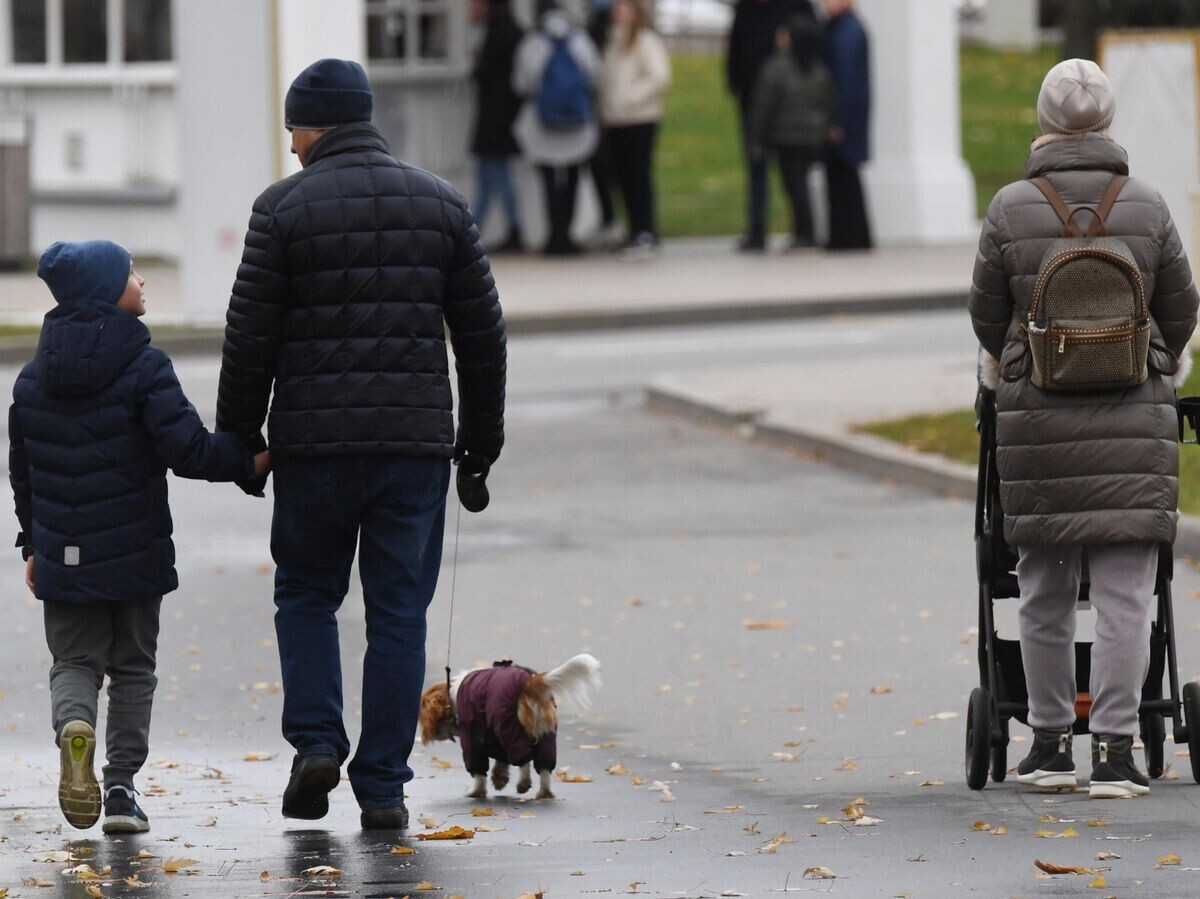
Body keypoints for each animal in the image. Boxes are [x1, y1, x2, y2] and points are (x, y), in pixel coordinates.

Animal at [422, 652, 604, 801]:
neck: (452, 695)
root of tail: (529, 681)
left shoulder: (473, 737)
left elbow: (479, 771)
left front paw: (475, 791)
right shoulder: (493, 736)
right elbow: (501, 760)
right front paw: (499, 779)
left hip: (508, 726)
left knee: (523, 758)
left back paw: (523, 783)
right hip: (546, 734)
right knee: (544, 765)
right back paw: (544, 793)